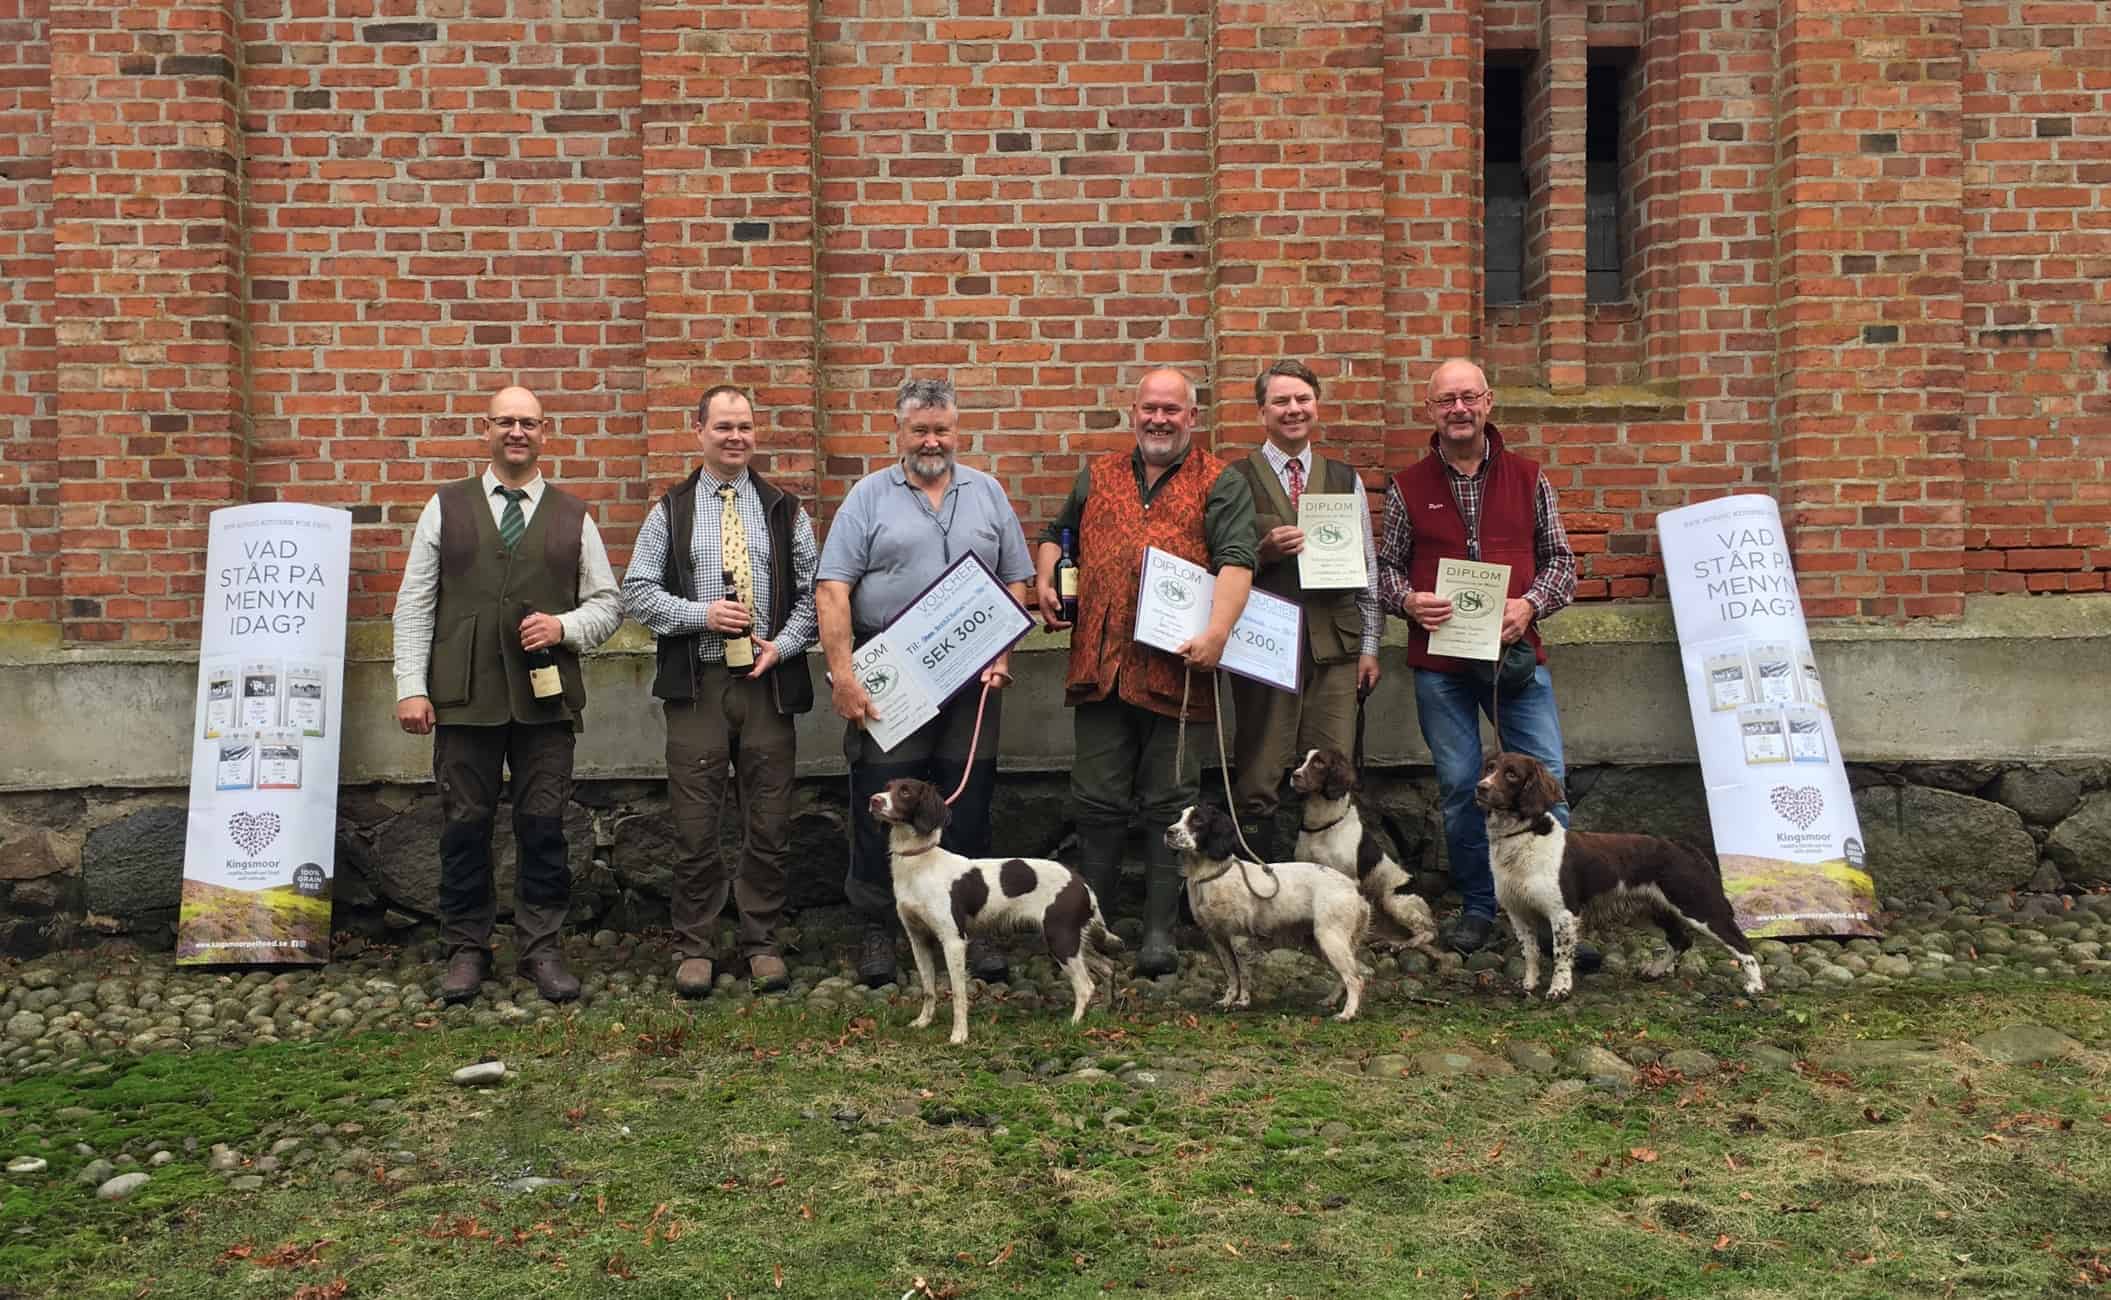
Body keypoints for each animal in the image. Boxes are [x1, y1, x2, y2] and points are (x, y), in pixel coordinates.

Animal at [865, 776, 1123, 1042]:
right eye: (887, 787)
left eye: (905, 792)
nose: (873, 800)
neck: (919, 864)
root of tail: (1081, 883)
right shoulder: (919, 938)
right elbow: (928, 989)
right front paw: (923, 1022)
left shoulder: (953, 941)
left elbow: (958, 993)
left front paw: (959, 1035)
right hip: (1072, 941)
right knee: (1108, 967)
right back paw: (1105, 1009)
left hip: (1061, 939)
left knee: (1085, 985)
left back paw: (1073, 1024)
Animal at [1165, 801, 1376, 1025]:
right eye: (1179, 817)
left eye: (1198, 820)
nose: (1169, 832)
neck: (1210, 875)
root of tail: (1355, 890)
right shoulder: (1217, 938)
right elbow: (1232, 974)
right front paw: (1227, 1001)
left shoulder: (1239, 938)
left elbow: (1243, 974)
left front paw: (1242, 1002)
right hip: (1319, 943)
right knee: (1343, 977)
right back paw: (1330, 1001)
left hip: (1330, 939)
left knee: (1355, 979)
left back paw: (1347, 1014)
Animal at [1291, 742, 1443, 953]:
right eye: (1300, 761)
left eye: (1319, 763)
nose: (1294, 775)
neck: (1322, 825)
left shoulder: (1348, 879)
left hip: (1392, 900)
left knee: (1428, 932)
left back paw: (1402, 944)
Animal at [1486, 747, 1764, 1000]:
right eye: (1489, 768)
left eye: (1511, 774)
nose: (1481, 787)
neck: (1522, 839)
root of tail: (1684, 847)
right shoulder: (1518, 912)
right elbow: (1530, 952)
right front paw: (1529, 984)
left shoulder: (1562, 913)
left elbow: (1560, 954)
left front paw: (1559, 989)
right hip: (1650, 910)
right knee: (1680, 940)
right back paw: (1655, 970)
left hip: (1697, 906)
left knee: (1740, 942)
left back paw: (1755, 985)